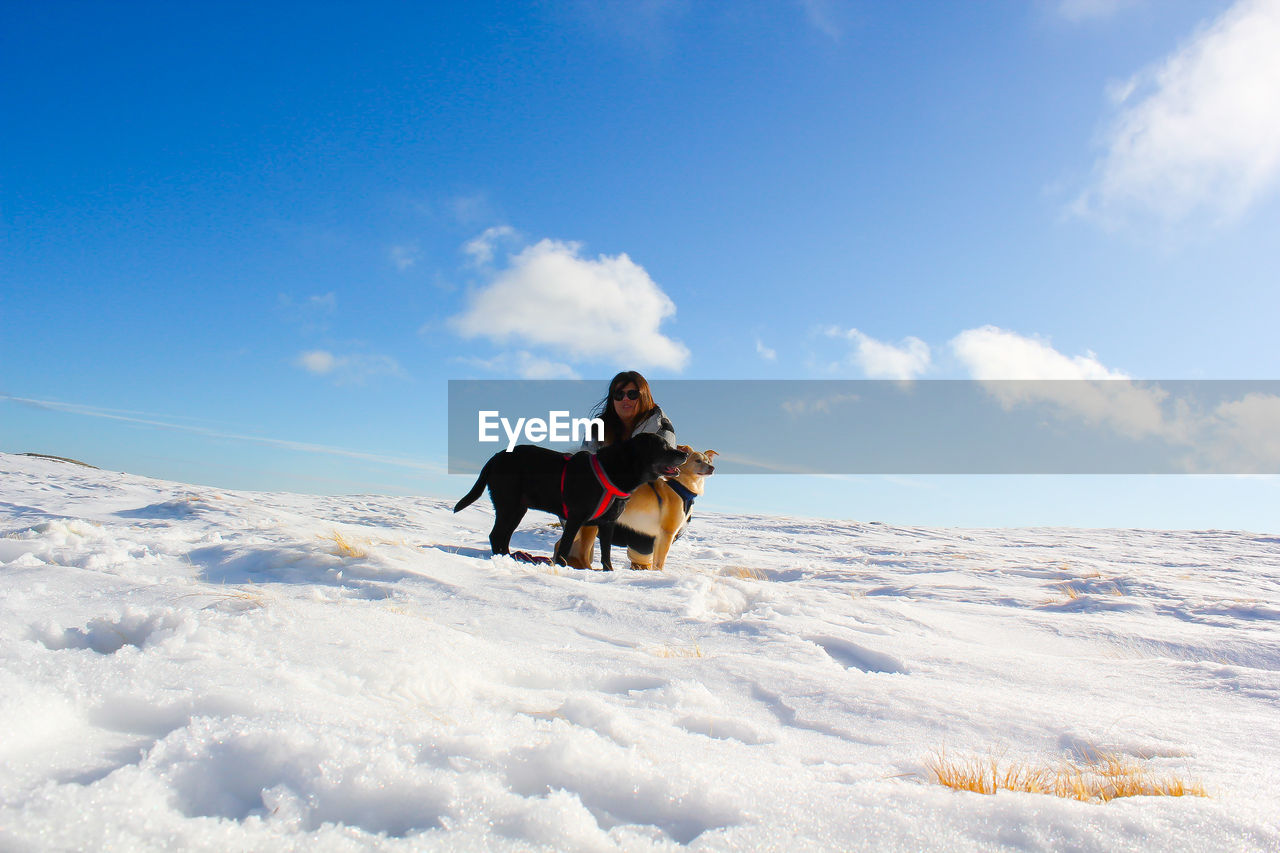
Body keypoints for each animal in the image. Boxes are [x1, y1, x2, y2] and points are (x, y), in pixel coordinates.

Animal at [455, 435, 686, 568]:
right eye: (662, 446)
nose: (683, 454)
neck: (614, 471)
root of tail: (495, 457)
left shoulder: (608, 523)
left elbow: (606, 554)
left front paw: (608, 572)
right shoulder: (575, 517)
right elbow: (565, 546)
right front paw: (560, 568)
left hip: (518, 508)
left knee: (503, 536)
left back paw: (512, 557)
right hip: (509, 505)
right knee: (496, 535)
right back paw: (505, 560)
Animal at [570, 440, 721, 568]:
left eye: (708, 461)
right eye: (697, 461)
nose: (712, 468)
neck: (681, 488)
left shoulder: (658, 538)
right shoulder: (667, 534)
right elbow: (659, 563)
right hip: (591, 526)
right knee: (582, 554)